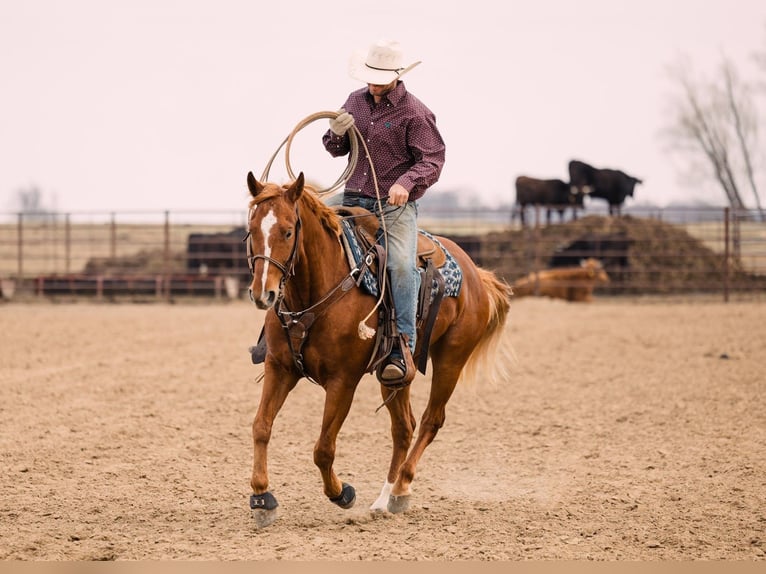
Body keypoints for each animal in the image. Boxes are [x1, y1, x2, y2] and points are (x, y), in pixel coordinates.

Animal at [244, 171, 512, 528]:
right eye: (252, 230)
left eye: (288, 231)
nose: (264, 294)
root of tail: (477, 275)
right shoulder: (280, 367)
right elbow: (261, 427)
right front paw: (262, 499)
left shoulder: (343, 380)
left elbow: (323, 448)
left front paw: (341, 493)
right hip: (396, 373)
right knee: (404, 428)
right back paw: (384, 498)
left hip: (451, 359)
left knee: (430, 420)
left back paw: (400, 490)